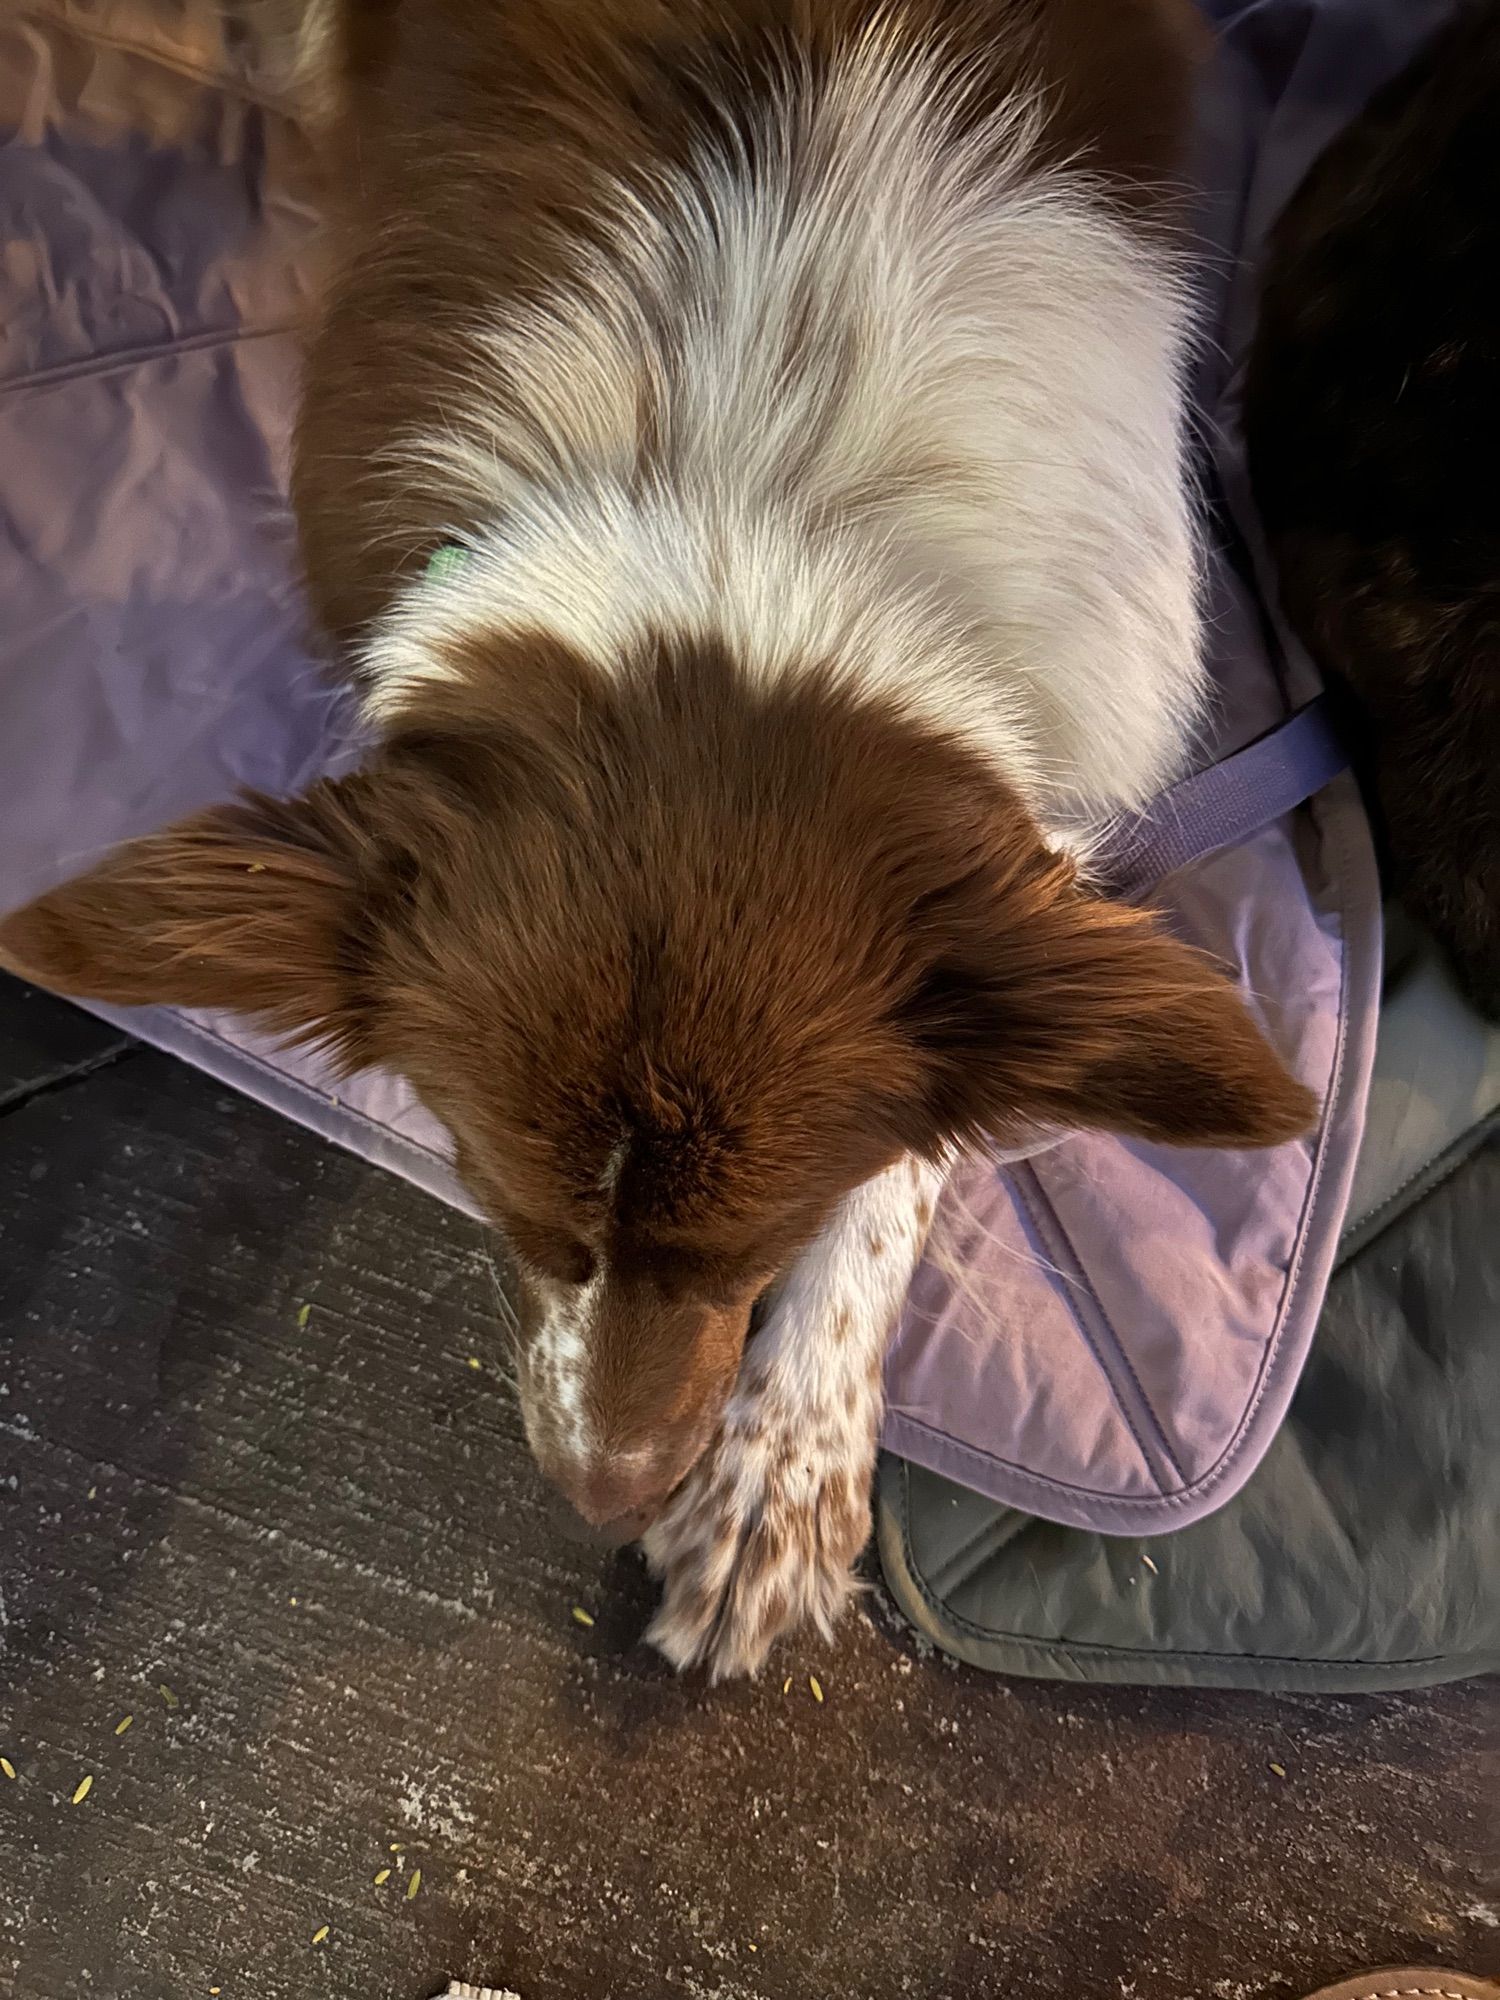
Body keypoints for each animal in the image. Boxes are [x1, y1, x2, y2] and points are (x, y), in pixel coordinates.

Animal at [0, 0, 1312, 1680]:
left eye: (757, 1242)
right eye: (499, 1201)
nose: (606, 1495)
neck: (746, 483)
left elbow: (925, 1142)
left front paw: (784, 1466)